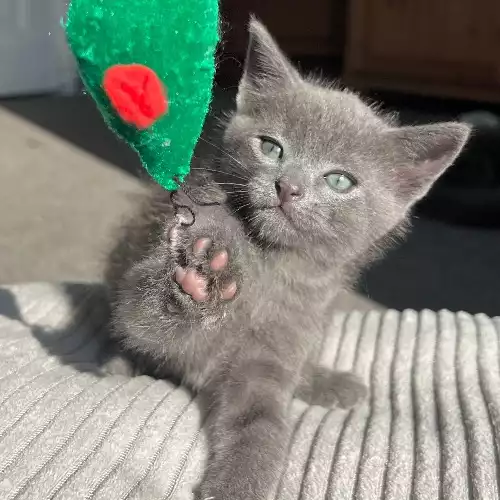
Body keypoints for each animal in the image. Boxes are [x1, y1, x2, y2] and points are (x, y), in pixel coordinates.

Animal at [105, 18, 468, 500]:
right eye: (272, 148)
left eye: (339, 180)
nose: (288, 186)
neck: (271, 269)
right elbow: (143, 316)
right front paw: (200, 282)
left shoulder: (275, 352)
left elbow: (262, 422)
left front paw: (239, 485)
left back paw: (326, 380)